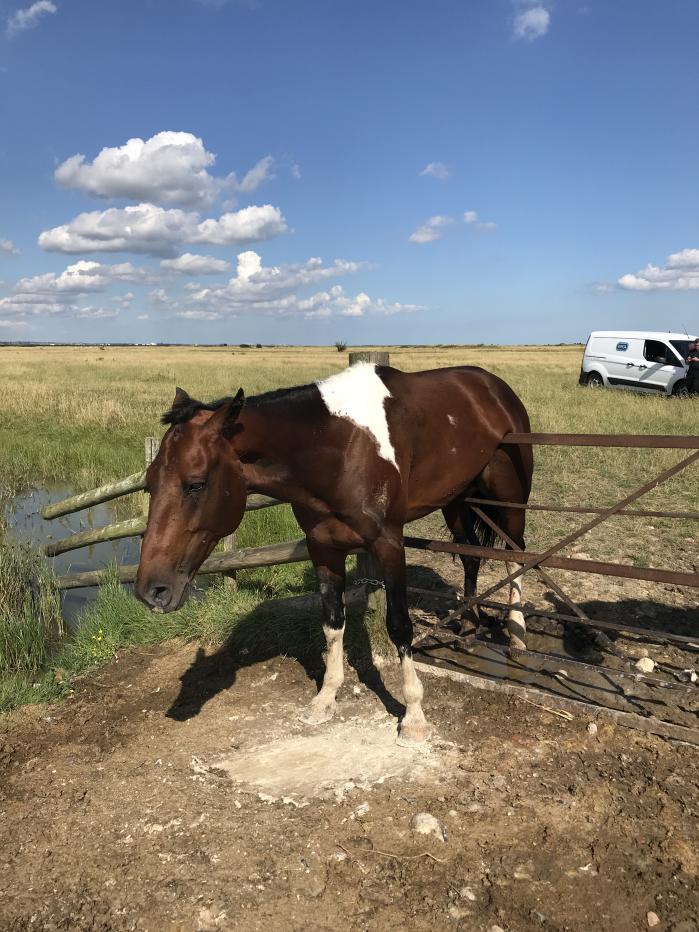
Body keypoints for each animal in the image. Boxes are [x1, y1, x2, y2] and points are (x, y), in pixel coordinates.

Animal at [134, 364, 532, 744]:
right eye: (149, 483)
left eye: (195, 484)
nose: (152, 591)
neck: (338, 449)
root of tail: (493, 386)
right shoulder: (322, 547)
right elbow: (332, 621)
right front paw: (325, 699)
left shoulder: (389, 544)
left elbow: (399, 625)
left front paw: (414, 717)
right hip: (457, 499)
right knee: (470, 555)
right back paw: (469, 625)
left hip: (509, 498)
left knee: (517, 553)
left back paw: (516, 635)